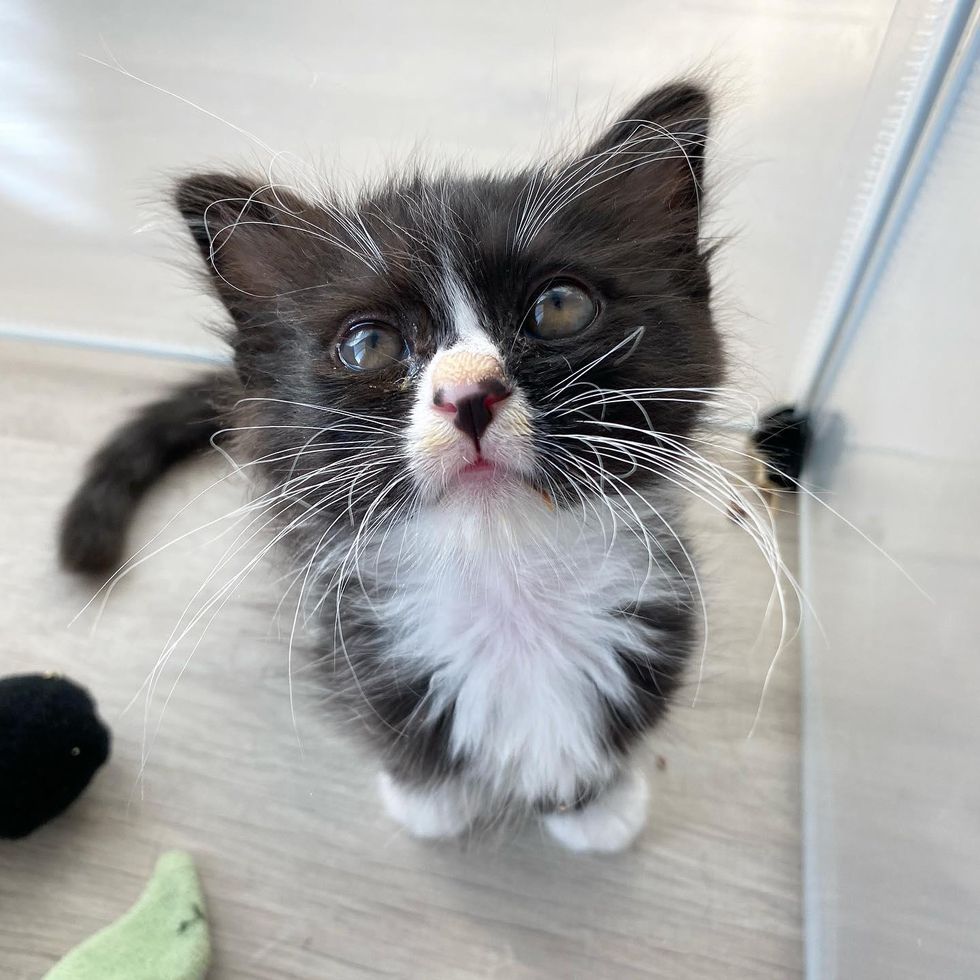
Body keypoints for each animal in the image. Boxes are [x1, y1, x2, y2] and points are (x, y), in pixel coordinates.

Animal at [59, 82, 720, 848]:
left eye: (559, 307)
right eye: (368, 344)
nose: (468, 394)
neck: (507, 582)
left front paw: (599, 805)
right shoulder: (347, 637)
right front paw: (431, 801)